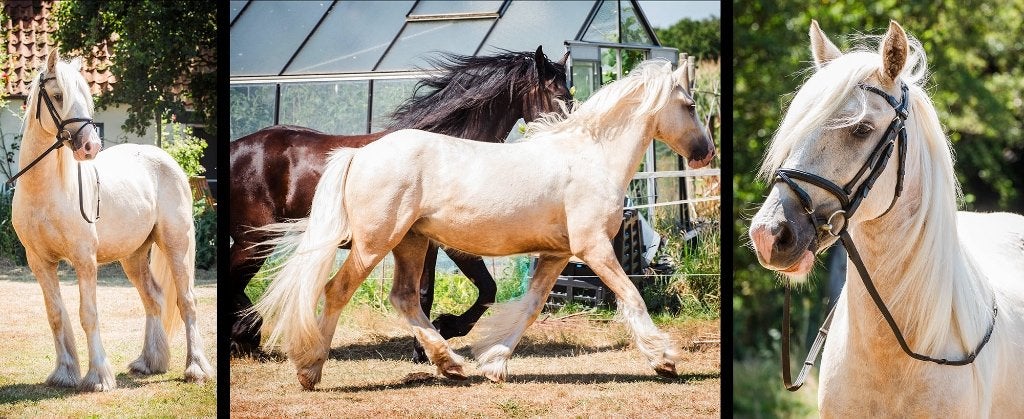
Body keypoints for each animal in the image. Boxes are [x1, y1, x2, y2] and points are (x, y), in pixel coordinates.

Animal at [10, 50, 213, 391]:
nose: (90, 146)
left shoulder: (84, 260)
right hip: (134, 256)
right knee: (154, 299)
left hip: (176, 245)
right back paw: (149, 362)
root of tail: (166, 159)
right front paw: (64, 373)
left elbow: (88, 314)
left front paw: (98, 378)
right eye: (58, 95)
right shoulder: (40, 263)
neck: (45, 192)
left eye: (85, 95)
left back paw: (196, 368)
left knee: (187, 301)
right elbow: (56, 315)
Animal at [229, 46, 570, 361]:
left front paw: (428, 343)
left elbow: (439, 291)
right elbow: (478, 289)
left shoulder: (430, 243)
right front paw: (440, 333)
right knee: (233, 280)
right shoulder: (450, 243)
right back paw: (246, 335)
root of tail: (235, 149)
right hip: (254, 239)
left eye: (570, 96)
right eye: (557, 97)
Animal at [252, 59, 714, 390]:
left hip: (411, 243)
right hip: (374, 243)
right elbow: (632, 297)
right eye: (690, 106)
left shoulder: (556, 255)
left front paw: (493, 363)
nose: (706, 153)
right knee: (337, 291)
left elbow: (529, 308)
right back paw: (310, 370)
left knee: (405, 298)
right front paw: (664, 360)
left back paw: (450, 364)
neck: (590, 156)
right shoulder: (594, 247)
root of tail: (358, 154)